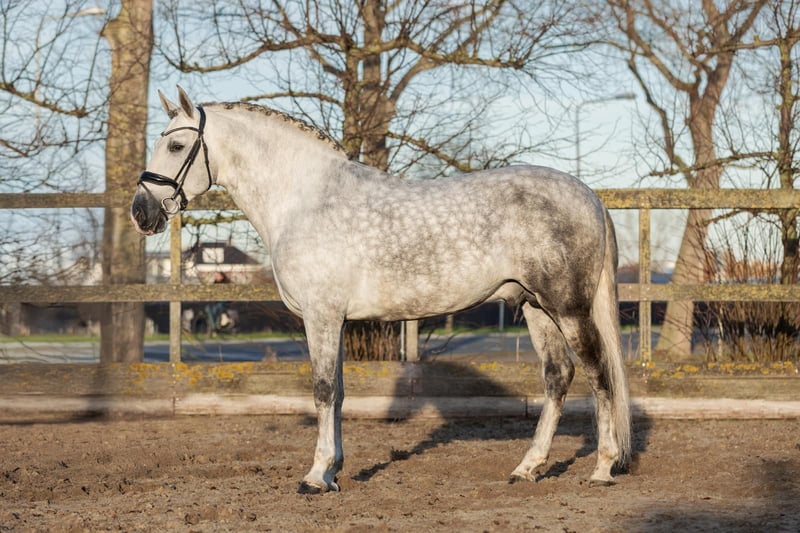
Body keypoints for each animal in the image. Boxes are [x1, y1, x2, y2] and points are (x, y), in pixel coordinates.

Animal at [131, 87, 631, 494]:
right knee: (558, 376)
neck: (304, 199)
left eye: (176, 145)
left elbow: (322, 390)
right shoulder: (336, 320)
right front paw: (334, 471)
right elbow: (338, 392)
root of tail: (588, 195)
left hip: (567, 307)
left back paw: (603, 468)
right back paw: (528, 468)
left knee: (598, 372)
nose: (141, 211)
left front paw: (315, 477)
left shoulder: (321, 316)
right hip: (533, 307)